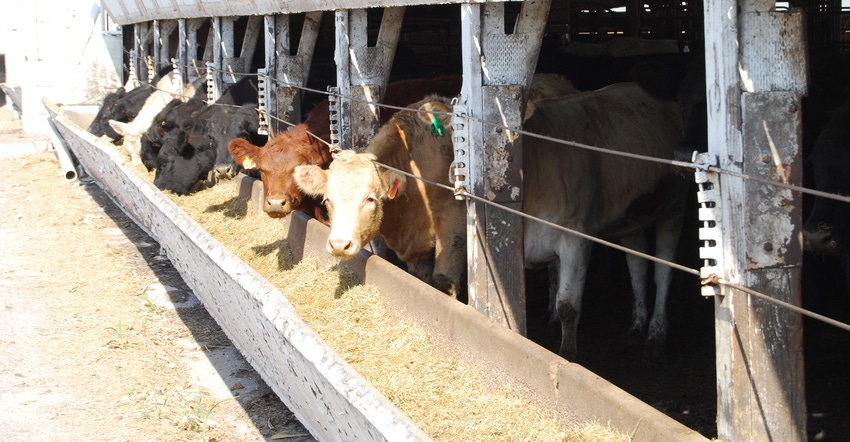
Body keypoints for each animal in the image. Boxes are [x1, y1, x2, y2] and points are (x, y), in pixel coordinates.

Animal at [294, 83, 684, 362]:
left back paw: (655, 335)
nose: (339, 244)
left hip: (671, 213)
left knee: (663, 271)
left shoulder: (457, 231)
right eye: (327, 201)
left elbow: (446, 281)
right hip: (632, 222)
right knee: (636, 263)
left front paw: (568, 356)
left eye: (370, 198)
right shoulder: (415, 250)